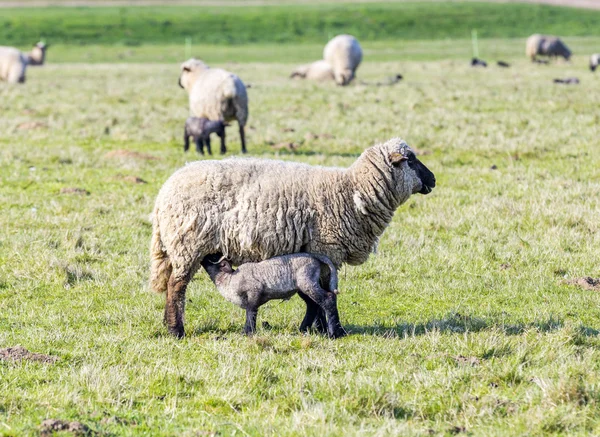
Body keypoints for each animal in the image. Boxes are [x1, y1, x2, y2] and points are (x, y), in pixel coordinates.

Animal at [200, 252, 342, 338]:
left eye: (213, 258)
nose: (203, 255)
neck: (228, 280)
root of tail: (315, 257)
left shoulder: (254, 291)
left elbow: (250, 312)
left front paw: (247, 332)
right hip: (302, 287)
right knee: (313, 305)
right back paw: (303, 329)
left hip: (307, 281)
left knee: (328, 299)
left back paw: (334, 333)